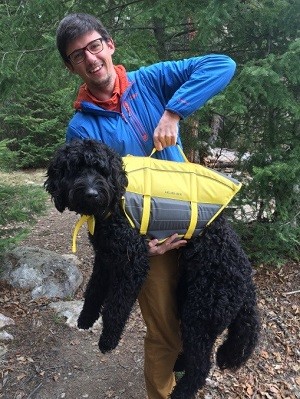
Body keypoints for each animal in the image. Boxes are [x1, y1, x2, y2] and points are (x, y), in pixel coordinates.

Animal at [45, 139, 260, 398]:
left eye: (101, 170)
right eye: (75, 169)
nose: (92, 193)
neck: (114, 204)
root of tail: (247, 285)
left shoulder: (132, 262)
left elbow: (115, 306)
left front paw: (108, 340)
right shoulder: (105, 258)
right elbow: (94, 289)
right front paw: (86, 317)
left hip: (201, 316)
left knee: (201, 367)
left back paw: (180, 392)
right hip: (190, 303)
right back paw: (178, 364)